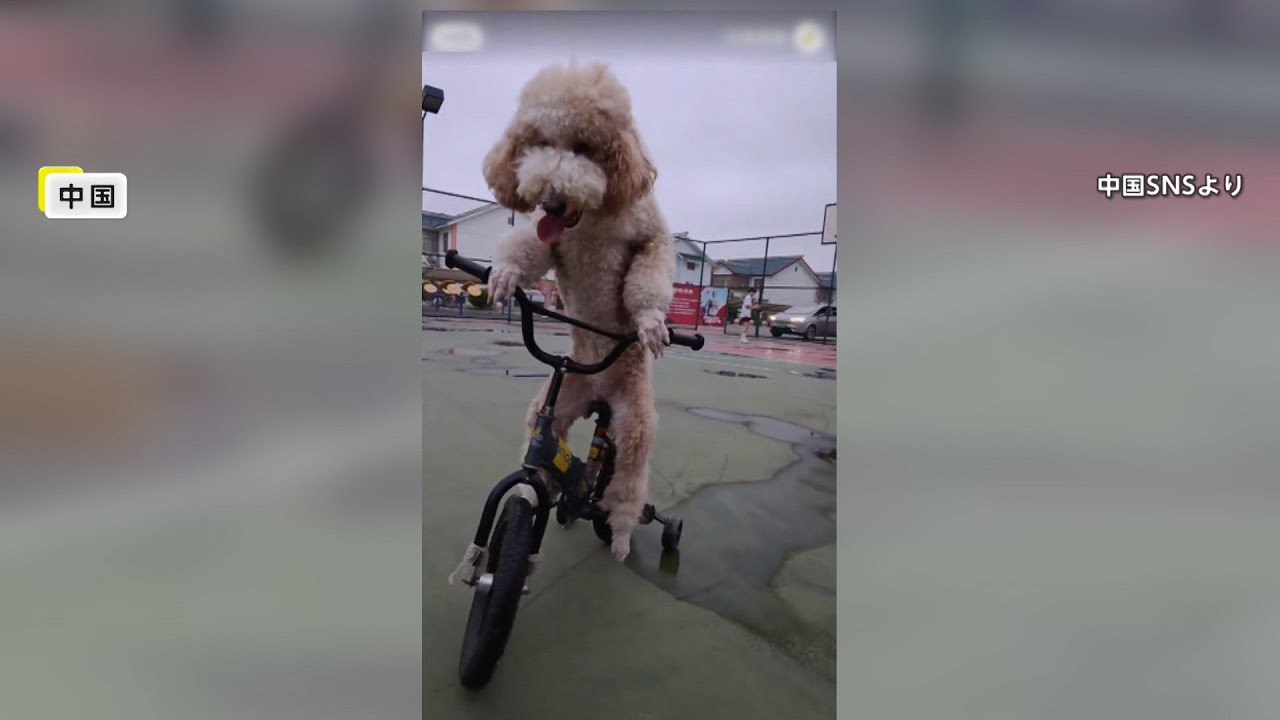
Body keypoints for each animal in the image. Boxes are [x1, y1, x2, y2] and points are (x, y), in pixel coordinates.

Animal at [481, 61, 680, 561]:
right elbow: (527, 247)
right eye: (539, 142)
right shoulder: (545, 237)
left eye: (584, 147)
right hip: (561, 399)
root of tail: (600, 396)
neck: (590, 216)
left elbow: (651, 269)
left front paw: (651, 321)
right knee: (549, 448)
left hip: (634, 423)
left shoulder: (650, 233)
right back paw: (546, 489)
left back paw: (623, 535)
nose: (551, 198)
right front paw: (504, 274)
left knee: (627, 484)